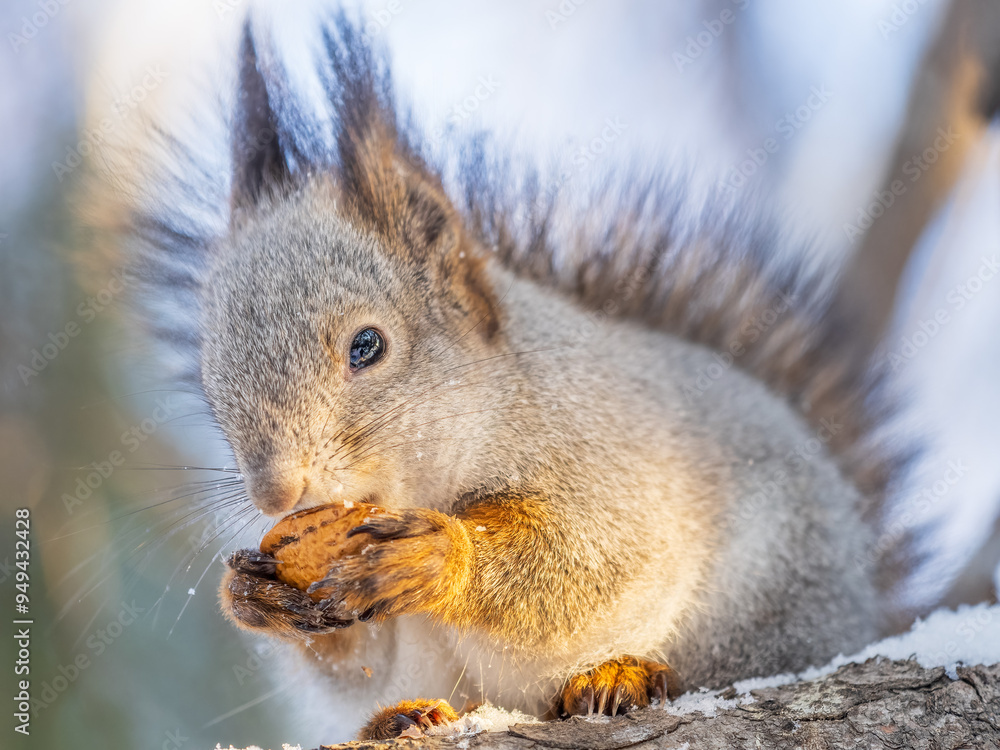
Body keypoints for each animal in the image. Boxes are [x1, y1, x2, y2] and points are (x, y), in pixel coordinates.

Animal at [114, 10, 907, 744]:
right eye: (211, 378)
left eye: (368, 346)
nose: (276, 493)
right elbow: (353, 656)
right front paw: (250, 593)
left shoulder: (610, 459)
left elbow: (591, 561)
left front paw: (441, 557)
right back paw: (399, 718)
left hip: (770, 592)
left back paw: (625, 674)